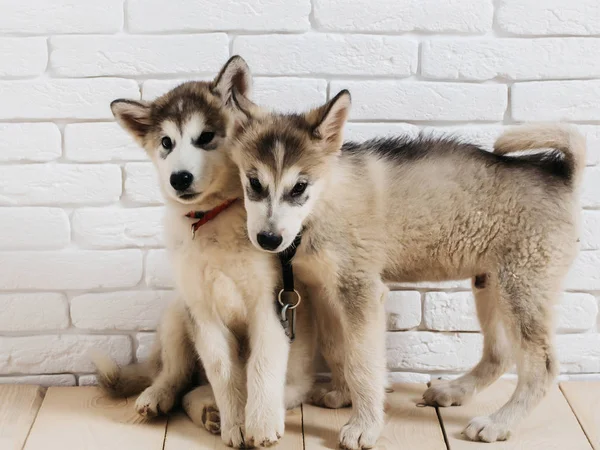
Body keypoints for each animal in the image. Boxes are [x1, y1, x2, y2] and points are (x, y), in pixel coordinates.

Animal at [94, 56, 316, 446]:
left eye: (206, 137)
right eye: (166, 142)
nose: (179, 178)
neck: (211, 219)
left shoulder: (270, 305)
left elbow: (261, 366)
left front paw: (260, 423)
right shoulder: (202, 311)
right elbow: (223, 370)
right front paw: (236, 423)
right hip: (177, 313)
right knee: (178, 378)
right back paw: (165, 398)